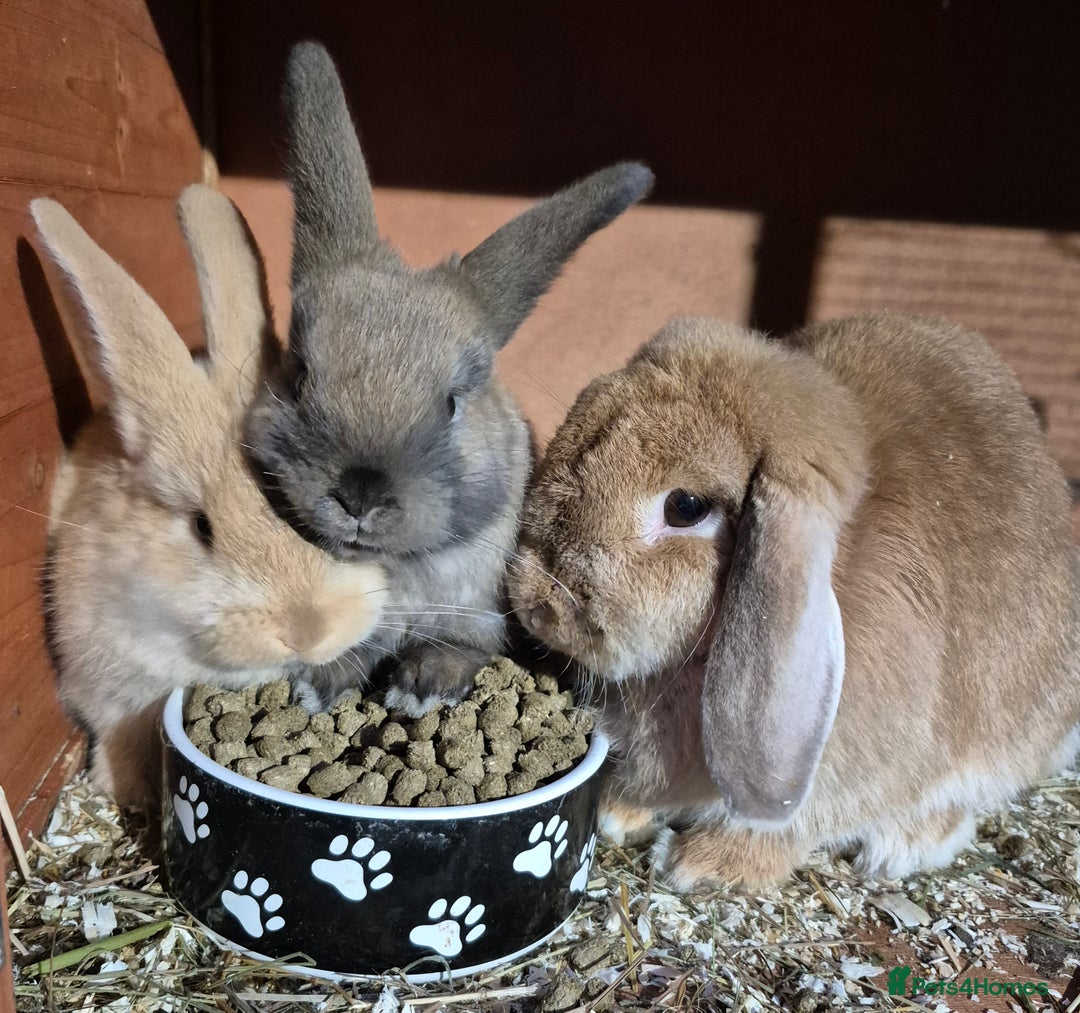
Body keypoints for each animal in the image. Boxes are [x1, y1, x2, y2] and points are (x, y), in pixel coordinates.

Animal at [243, 41, 654, 715]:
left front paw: (421, 688)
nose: (360, 494)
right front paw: (316, 687)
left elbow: (462, 647)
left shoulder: (476, 608)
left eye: (453, 403)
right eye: (300, 376)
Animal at [509, 311, 1080, 891]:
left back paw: (906, 846)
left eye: (685, 507)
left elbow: (787, 828)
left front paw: (700, 864)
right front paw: (620, 813)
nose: (537, 605)